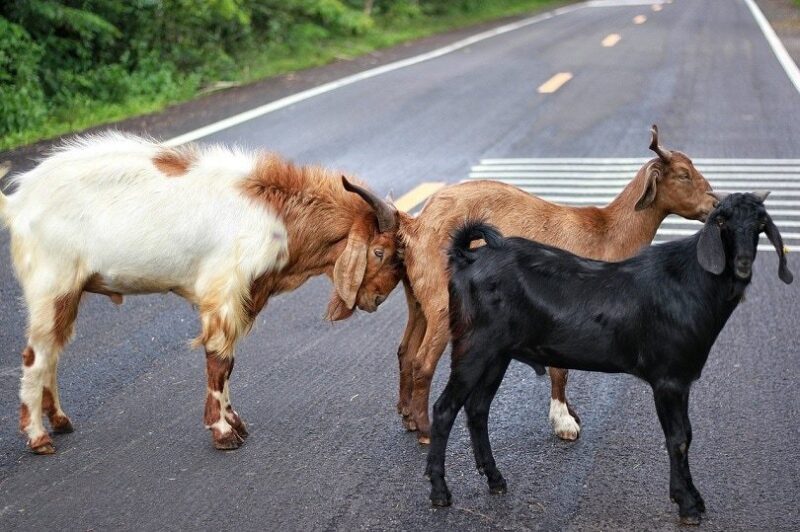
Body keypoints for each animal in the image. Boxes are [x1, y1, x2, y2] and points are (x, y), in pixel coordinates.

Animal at [0, 133, 403, 454]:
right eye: (379, 252)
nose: (376, 301)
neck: (278, 214)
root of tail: (19, 203)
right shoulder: (224, 290)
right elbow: (219, 360)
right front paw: (224, 432)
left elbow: (229, 363)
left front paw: (235, 423)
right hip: (52, 286)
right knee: (35, 356)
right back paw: (38, 438)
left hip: (66, 294)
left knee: (52, 352)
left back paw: (60, 421)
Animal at [395, 125, 716, 443]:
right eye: (684, 174)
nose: (714, 204)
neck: (607, 233)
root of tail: (418, 225)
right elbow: (560, 369)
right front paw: (564, 422)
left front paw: (570, 414)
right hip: (441, 301)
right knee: (423, 362)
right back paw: (425, 430)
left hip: (419, 299)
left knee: (406, 351)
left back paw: (409, 417)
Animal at [426, 192, 793, 525]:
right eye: (722, 222)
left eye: (760, 224)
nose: (743, 263)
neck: (690, 283)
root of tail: (467, 258)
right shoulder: (669, 381)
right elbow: (678, 439)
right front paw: (687, 505)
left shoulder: (681, 380)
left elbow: (686, 435)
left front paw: (694, 499)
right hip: (474, 346)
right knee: (444, 409)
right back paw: (440, 492)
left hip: (497, 354)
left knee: (477, 410)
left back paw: (495, 479)